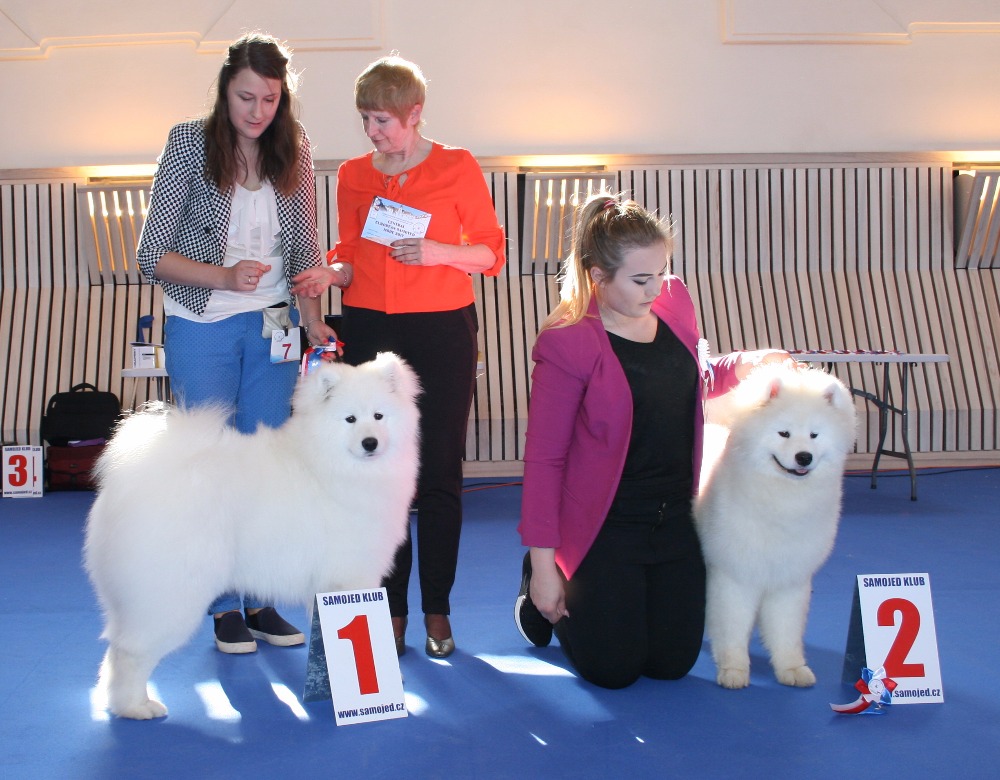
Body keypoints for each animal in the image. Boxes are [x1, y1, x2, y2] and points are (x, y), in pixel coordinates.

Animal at [84, 352, 420, 719]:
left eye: (379, 416)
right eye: (350, 419)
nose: (370, 442)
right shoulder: (349, 577)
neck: (327, 464)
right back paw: (137, 707)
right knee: (131, 651)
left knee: (115, 648)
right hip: (172, 593)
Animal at [695, 363, 856, 689]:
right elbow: (732, 626)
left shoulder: (790, 579)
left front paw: (792, 668)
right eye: (784, 433)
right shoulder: (734, 575)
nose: (803, 457)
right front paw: (733, 670)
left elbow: (786, 630)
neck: (784, 501)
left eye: (814, 435)